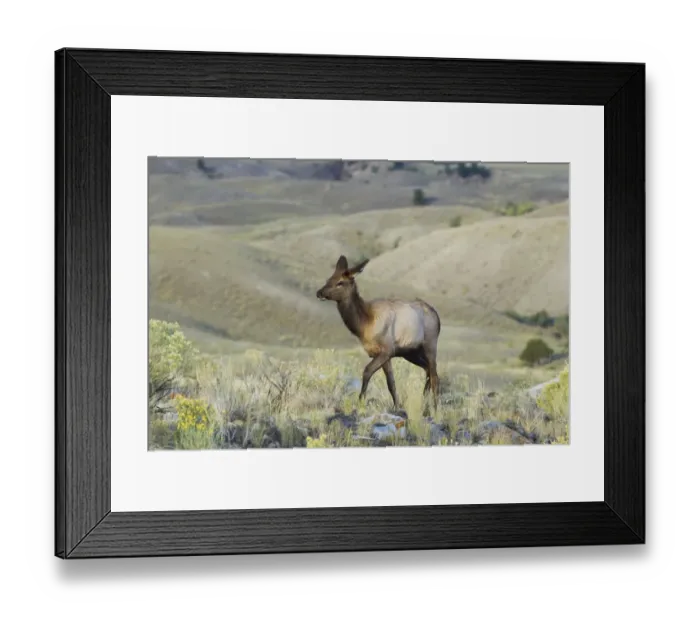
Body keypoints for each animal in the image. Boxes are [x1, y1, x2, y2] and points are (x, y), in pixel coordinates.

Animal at [316, 255, 441, 411]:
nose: (319, 292)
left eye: (340, 282)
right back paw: (424, 402)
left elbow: (367, 371)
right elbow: (391, 383)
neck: (364, 325)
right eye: (329, 279)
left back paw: (435, 408)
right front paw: (397, 406)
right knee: (428, 370)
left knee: (435, 376)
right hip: (410, 352)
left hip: (430, 344)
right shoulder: (383, 354)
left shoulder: (387, 350)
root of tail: (437, 317)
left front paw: (360, 402)